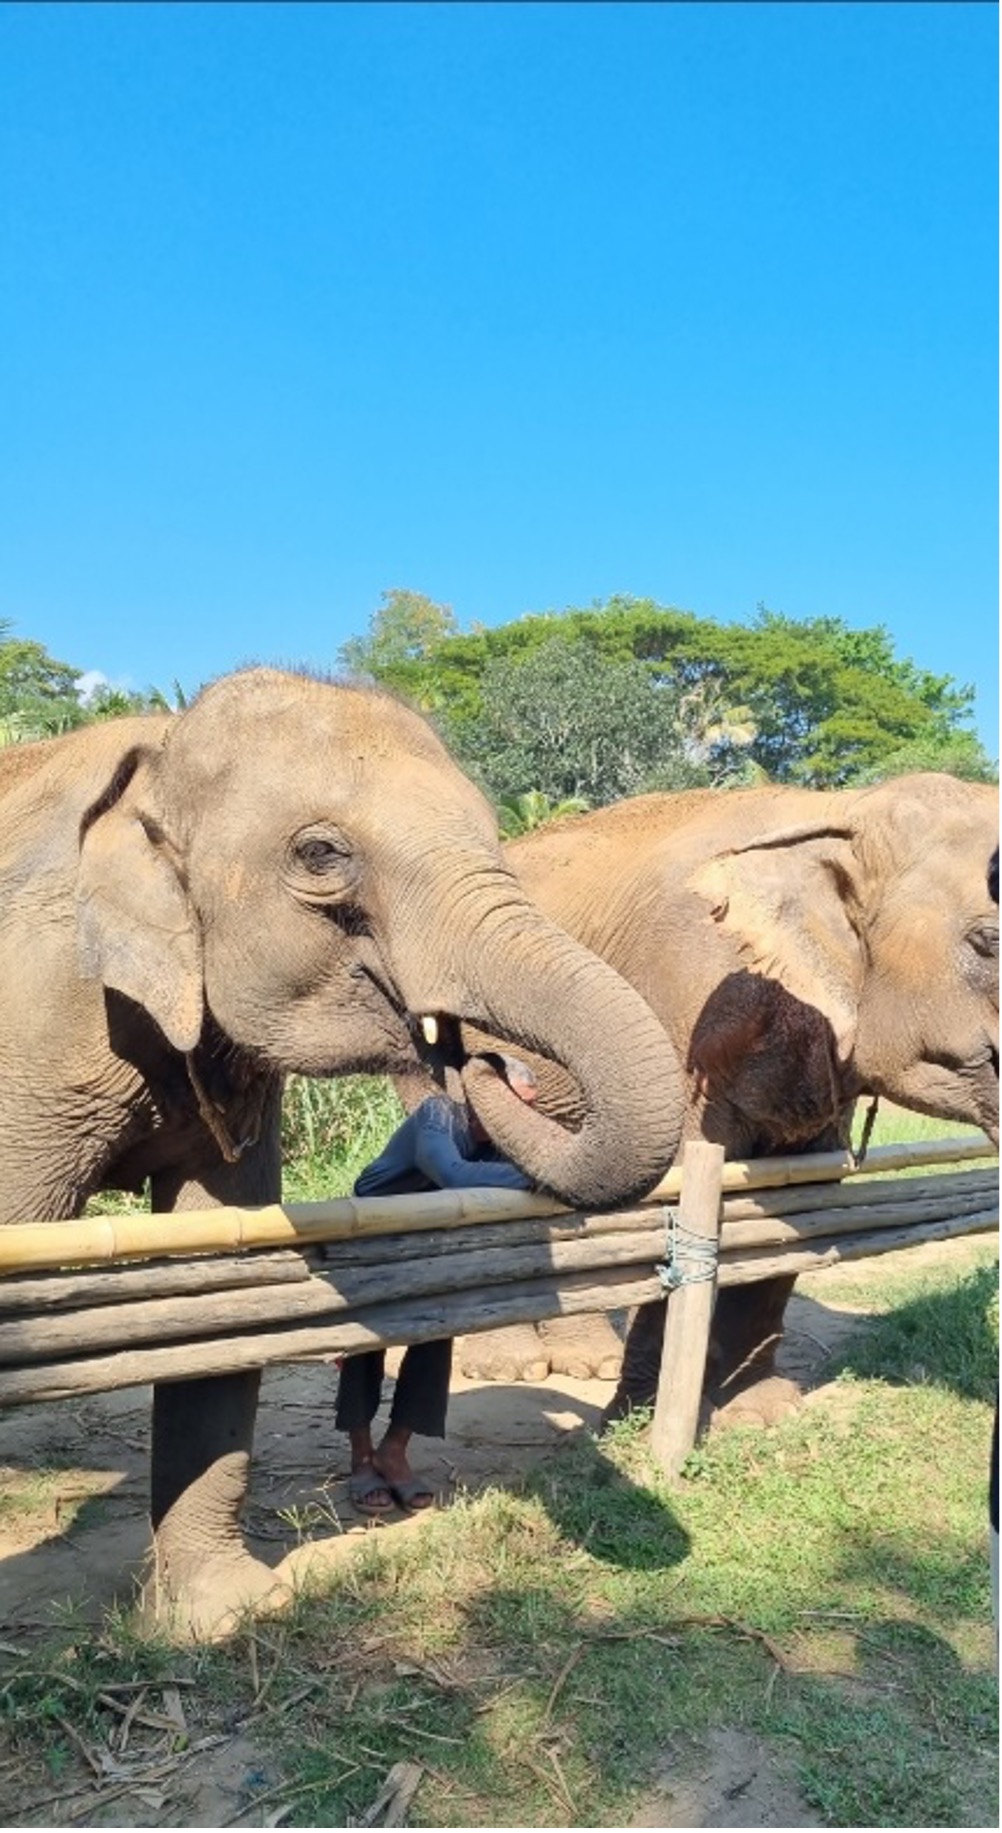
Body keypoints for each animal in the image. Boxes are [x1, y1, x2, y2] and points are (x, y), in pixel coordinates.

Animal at [0, 666, 687, 1635]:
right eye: (322, 854)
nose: (478, 1056)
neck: (156, 753)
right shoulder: (31, 1026)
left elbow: (228, 1280)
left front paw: (223, 1617)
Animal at [454, 772, 999, 1413]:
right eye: (989, 939)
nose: (496, 1059)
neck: (842, 808)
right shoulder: (690, 1012)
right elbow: (677, 1185)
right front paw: (635, 1416)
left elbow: (802, 1202)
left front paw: (758, 1411)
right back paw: (514, 1364)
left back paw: (588, 1362)